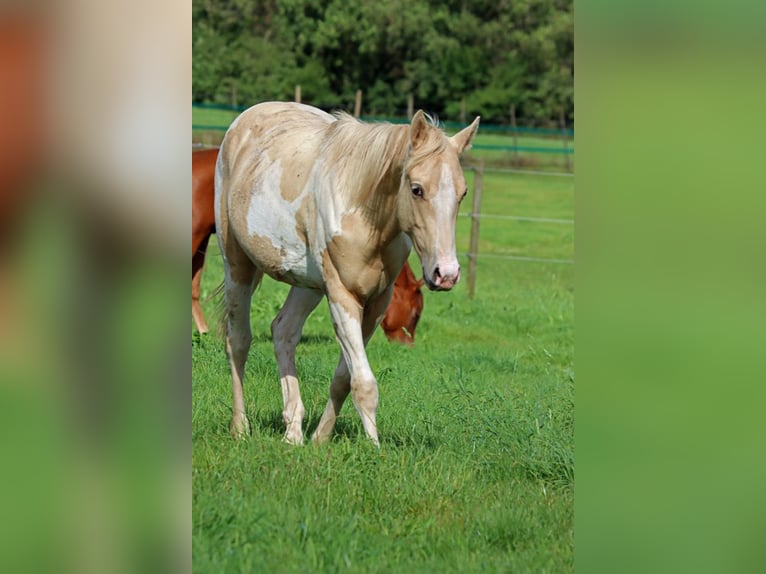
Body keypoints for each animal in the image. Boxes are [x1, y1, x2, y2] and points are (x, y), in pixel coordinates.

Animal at [216, 101, 480, 448]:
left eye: (463, 193)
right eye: (417, 189)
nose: (446, 274)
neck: (365, 213)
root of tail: (244, 121)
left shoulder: (377, 303)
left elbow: (345, 378)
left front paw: (320, 440)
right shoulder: (343, 296)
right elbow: (365, 384)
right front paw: (375, 449)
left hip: (309, 285)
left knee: (284, 331)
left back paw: (293, 433)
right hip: (237, 265)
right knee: (238, 340)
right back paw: (240, 427)